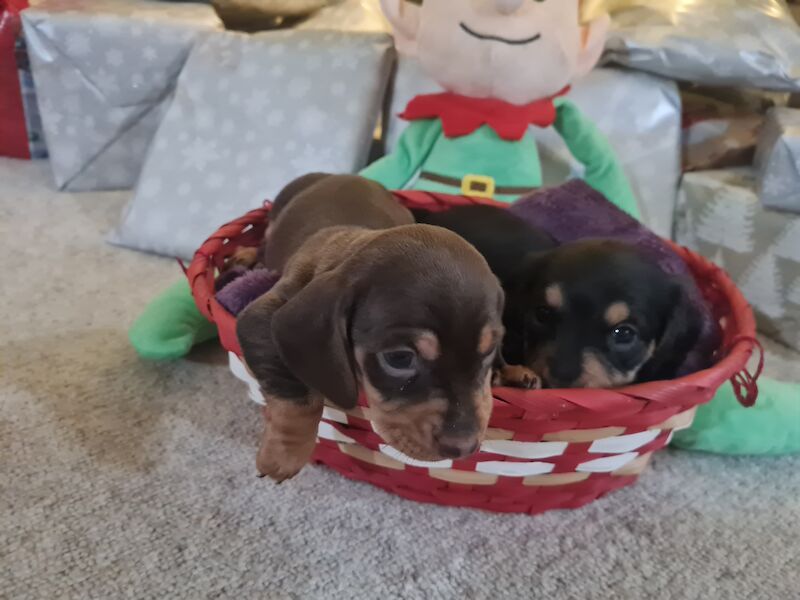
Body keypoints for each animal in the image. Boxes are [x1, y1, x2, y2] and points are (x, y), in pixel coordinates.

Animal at [234, 175, 506, 482]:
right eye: (399, 358)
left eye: (489, 350)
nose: (464, 447)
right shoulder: (261, 317)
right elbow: (294, 390)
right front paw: (285, 453)